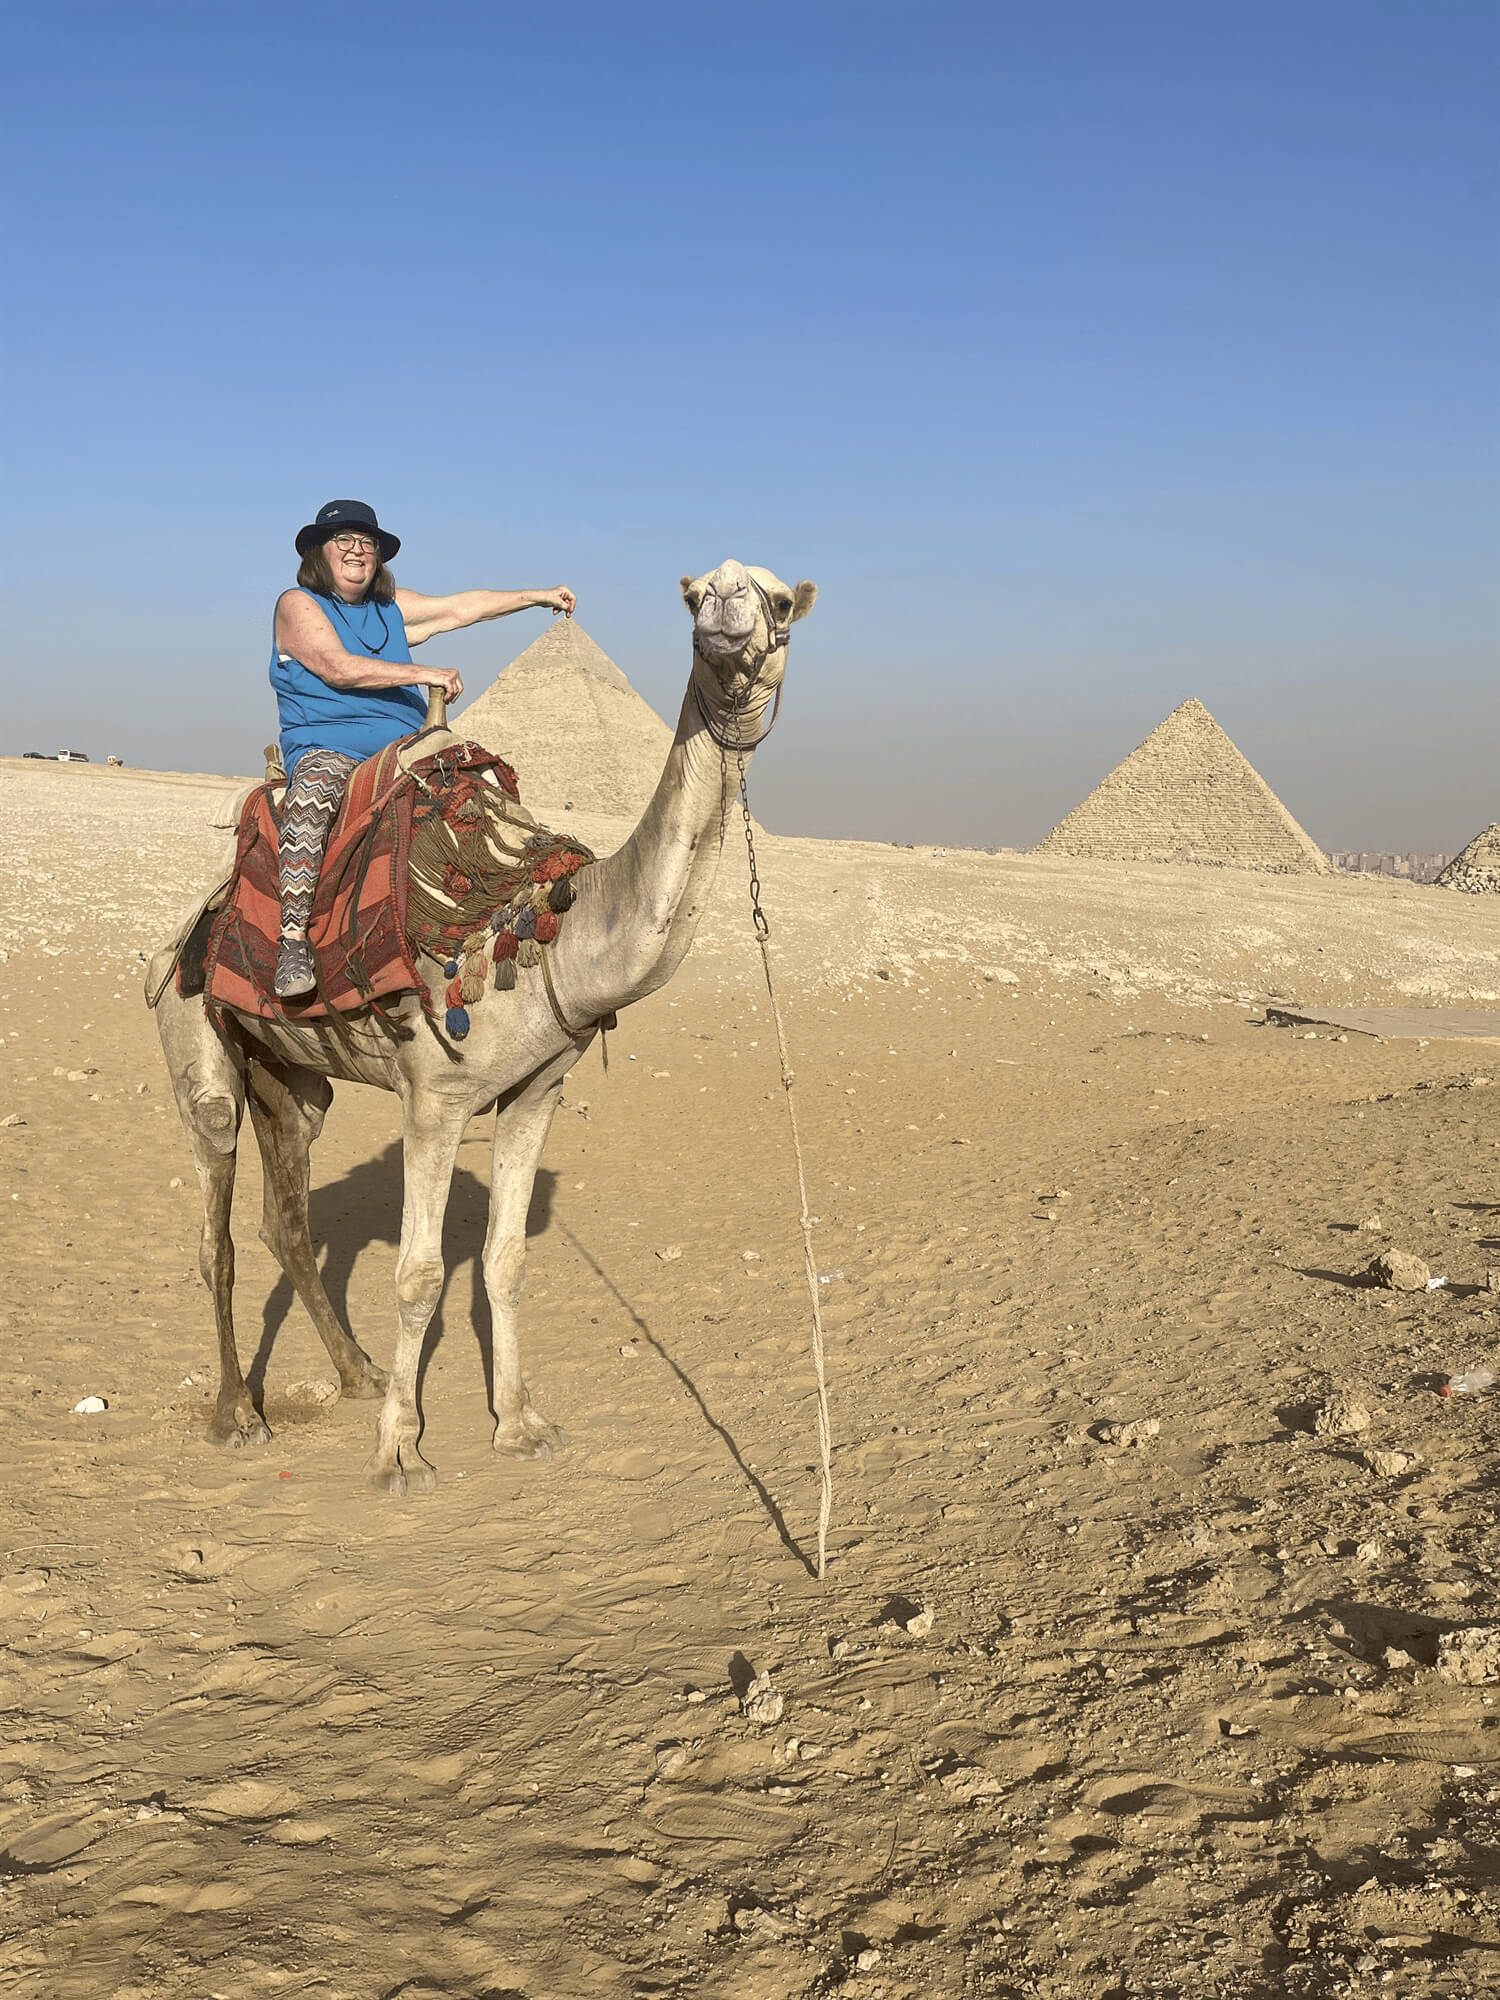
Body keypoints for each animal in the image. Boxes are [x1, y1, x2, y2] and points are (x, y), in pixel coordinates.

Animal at [150, 559, 816, 1494]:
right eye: (694, 597)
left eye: (778, 597)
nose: (725, 608)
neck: (548, 928)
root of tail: (190, 923)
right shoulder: (436, 1097)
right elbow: (419, 1275)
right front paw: (401, 1452)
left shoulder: (538, 1089)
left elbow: (505, 1262)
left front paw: (521, 1423)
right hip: (195, 1036)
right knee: (216, 1226)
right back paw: (240, 1416)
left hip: (291, 1076)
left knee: (287, 1220)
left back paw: (357, 1374)